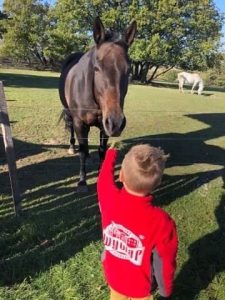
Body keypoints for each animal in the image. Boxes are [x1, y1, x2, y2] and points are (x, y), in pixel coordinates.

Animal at [59, 17, 136, 190]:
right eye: (96, 68)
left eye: (129, 70)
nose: (117, 122)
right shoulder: (80, 123)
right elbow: (82, 151)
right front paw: (82, 181)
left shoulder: (104, 125)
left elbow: (102, 151)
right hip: (69, 113)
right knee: (73, 132)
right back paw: (71, 147)